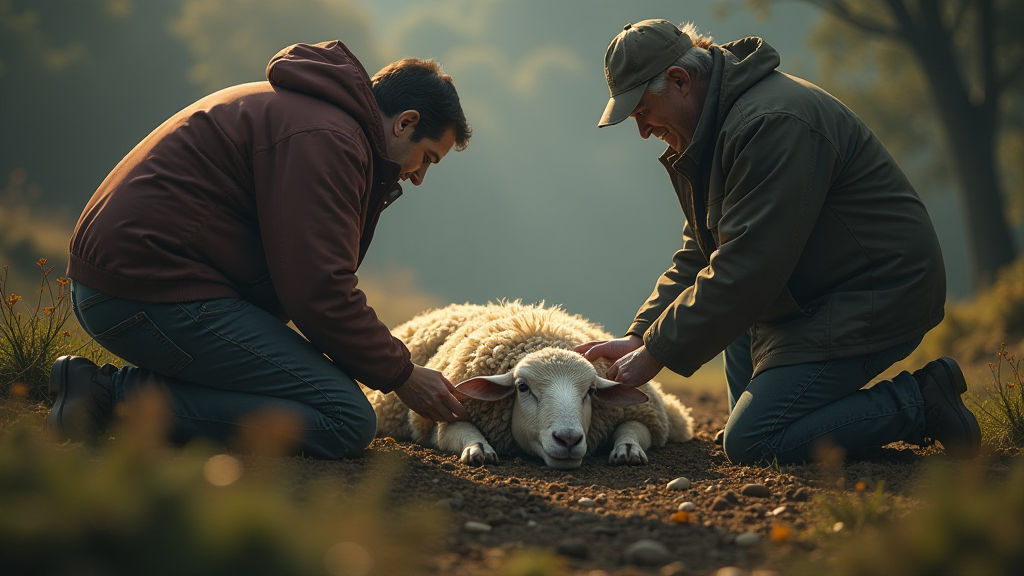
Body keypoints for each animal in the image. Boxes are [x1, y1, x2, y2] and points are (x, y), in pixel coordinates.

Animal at [362, 301, 696, 467]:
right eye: (522, 387)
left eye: (591, 391)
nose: (568, 439)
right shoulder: (442, 417)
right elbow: (461, 432)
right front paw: (478, 448)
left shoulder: (649, 418)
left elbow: (635, 429)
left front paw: (627, 449)